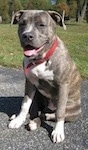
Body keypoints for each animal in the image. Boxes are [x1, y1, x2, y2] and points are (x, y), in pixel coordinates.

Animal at [8, 9, 81, 144]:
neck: (41, 58)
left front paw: (58, 132)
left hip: (73, 112)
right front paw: (19, 120)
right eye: (22, 24)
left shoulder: (63, 85)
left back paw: (37, 121)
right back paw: (25, 119)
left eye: (42, 25)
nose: (27, 35)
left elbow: (60, 112)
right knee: (36, 111)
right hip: (38, 96)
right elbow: (25, 104)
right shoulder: (29, 83)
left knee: (50, 114)